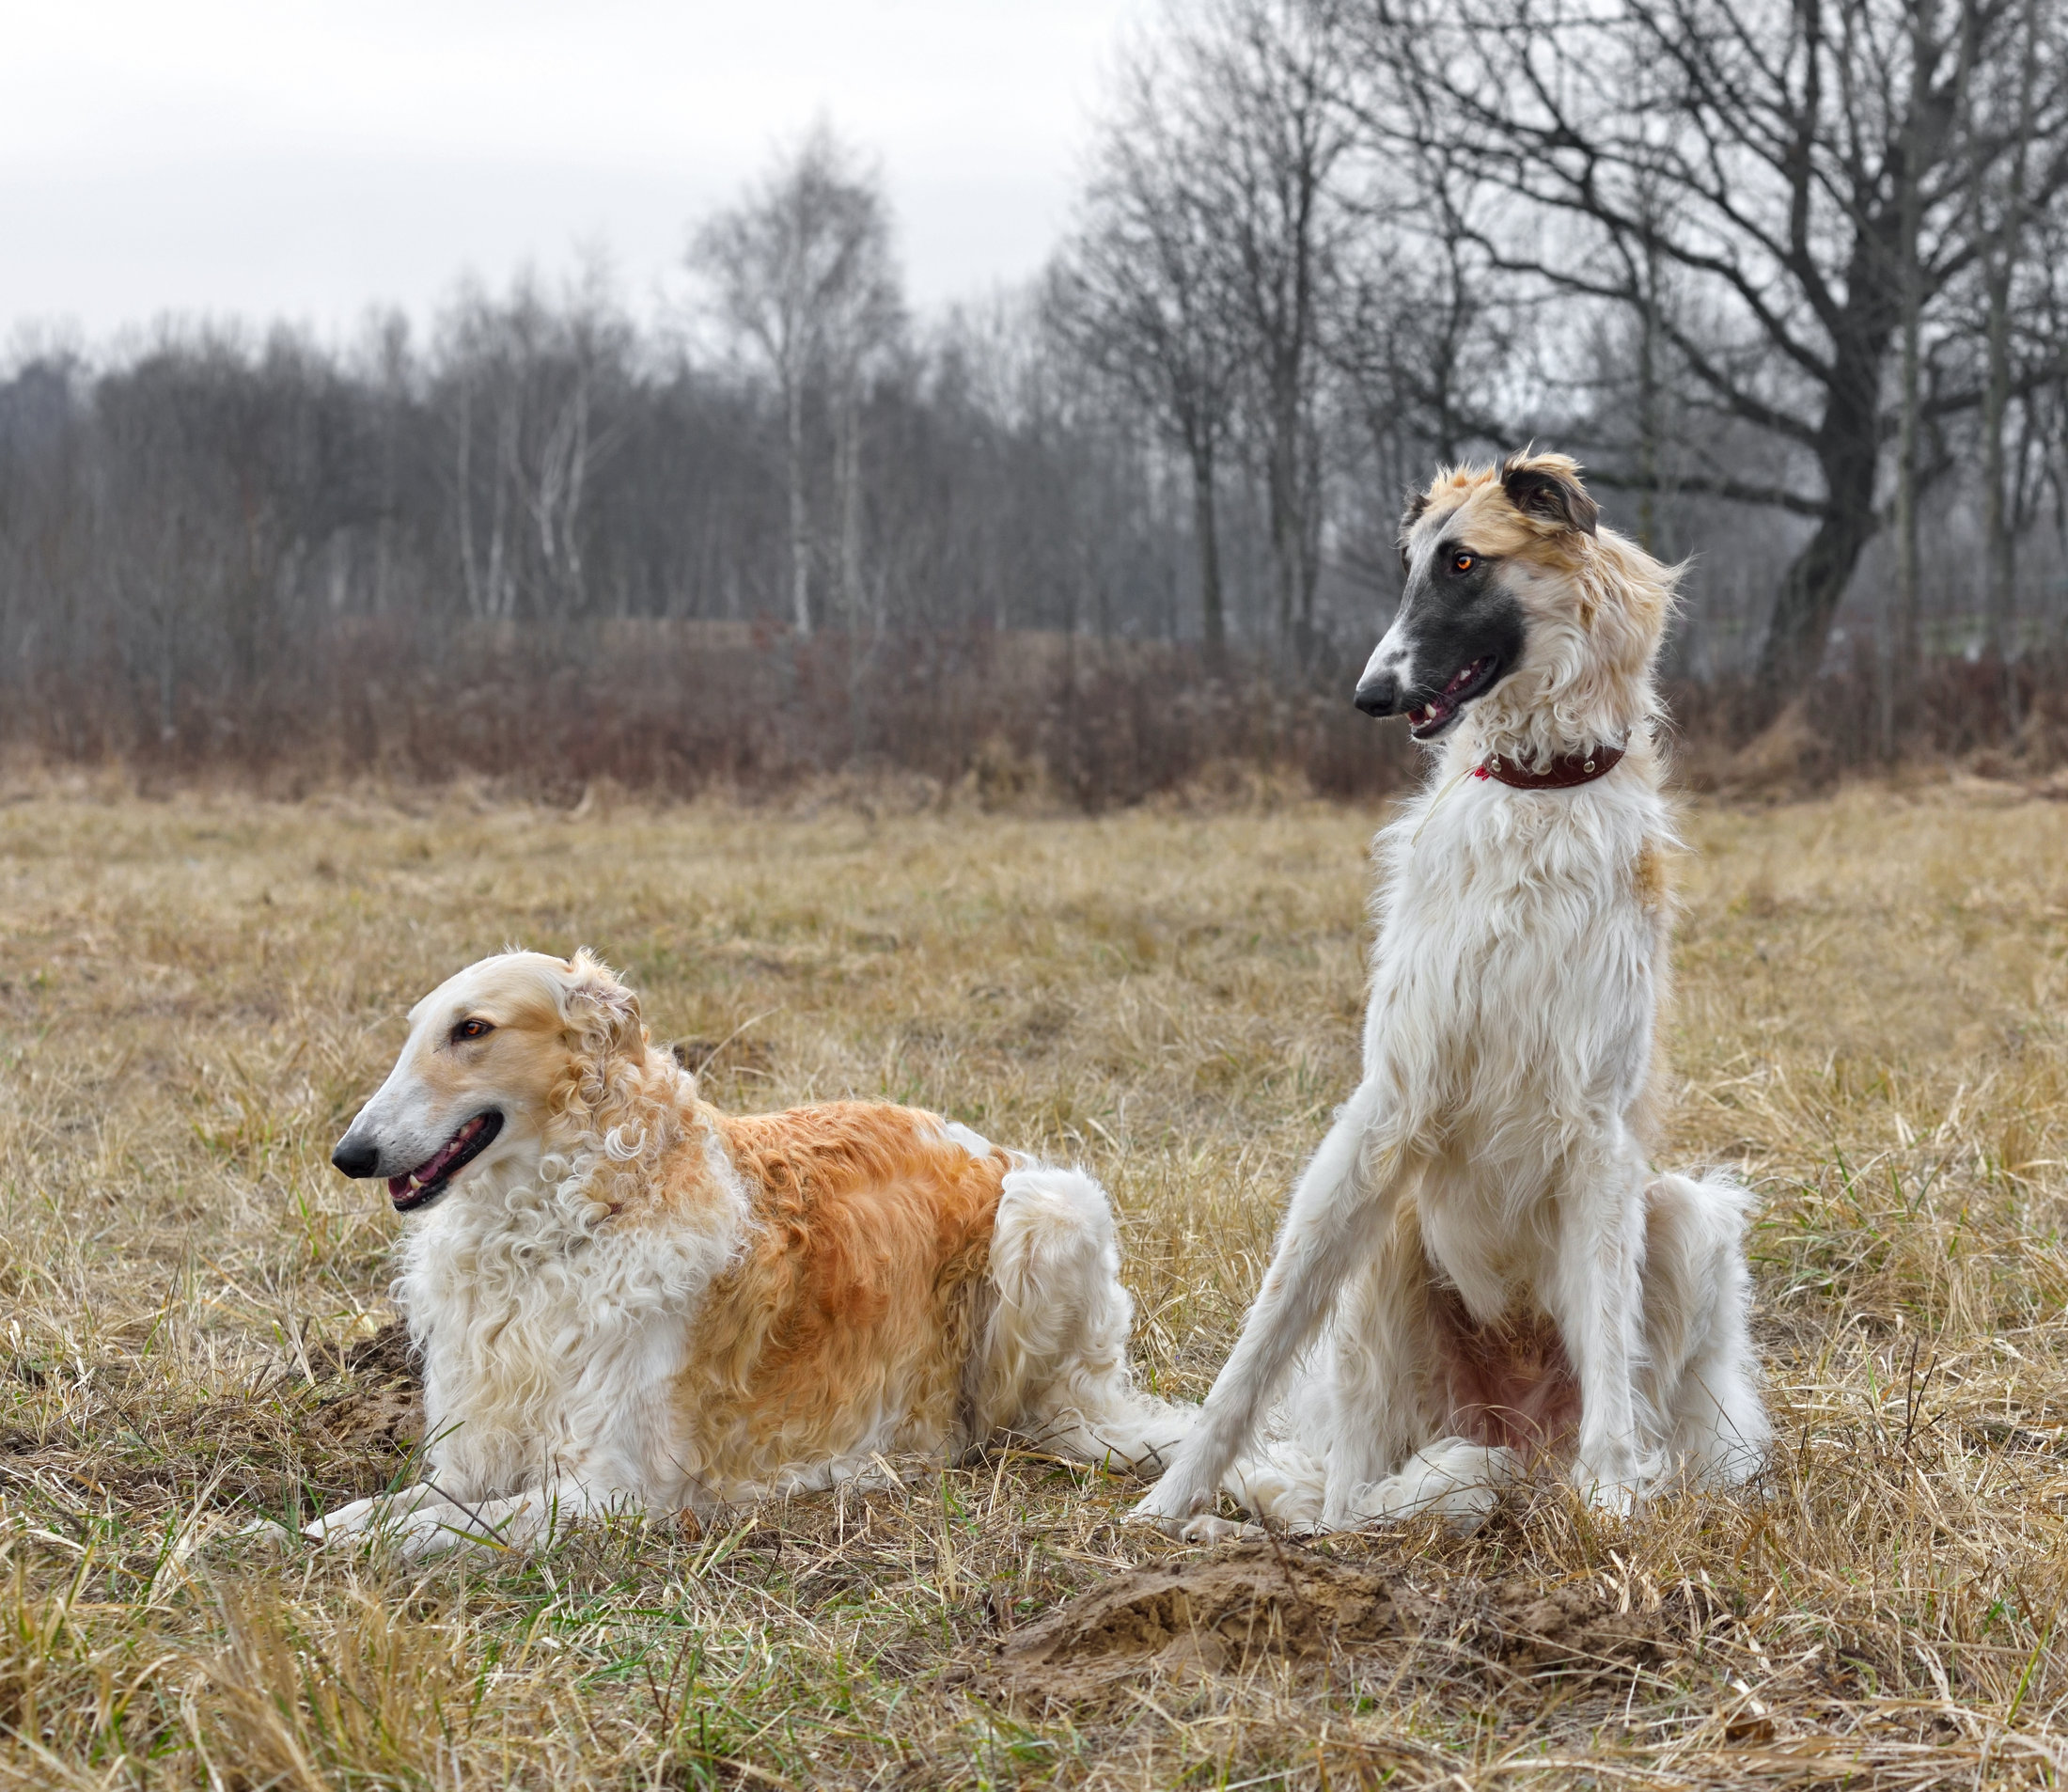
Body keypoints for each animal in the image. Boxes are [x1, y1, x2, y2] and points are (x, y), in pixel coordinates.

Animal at [310, 951, 1183, 1548]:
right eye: (418, 1030)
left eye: (473, 1029)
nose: (349, 1155)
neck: (560, 1226)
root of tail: (979, 1140)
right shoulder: (473, 1457)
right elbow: (386, 1509)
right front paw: (298, 1533)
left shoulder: (609, 1491)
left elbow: (423, 1530)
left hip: (1047, 1216)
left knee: (1019, 1425)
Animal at [1141, 457, 1770, 1539]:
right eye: (1409, 567)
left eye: (1465, 563)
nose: (1370, 695)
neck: (1537, 790)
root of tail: (1517, 1433)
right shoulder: (1386, 1101)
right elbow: (1261, 1336)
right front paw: (1170, 1494)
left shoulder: (1599, 1131)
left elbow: (1610, 1338)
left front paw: (1611, 1498)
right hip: (1388, 1244)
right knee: (1344, 1497)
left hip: (1685, 1215)